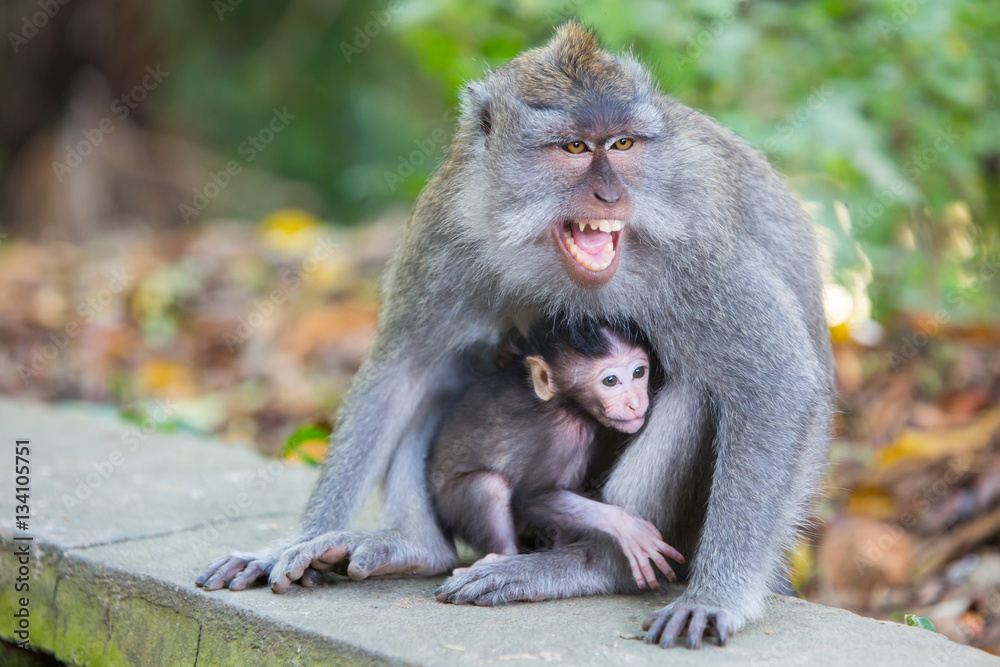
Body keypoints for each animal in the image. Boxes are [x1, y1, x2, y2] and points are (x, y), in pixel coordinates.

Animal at [426, 318, 684, 588]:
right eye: (611, 381)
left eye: (638, 372)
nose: (635, 403)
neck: (569, 405)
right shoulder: (563, 436)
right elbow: (533, 497)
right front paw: (626, 526)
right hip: (449, 504)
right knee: (488, 485)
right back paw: (500, 559)